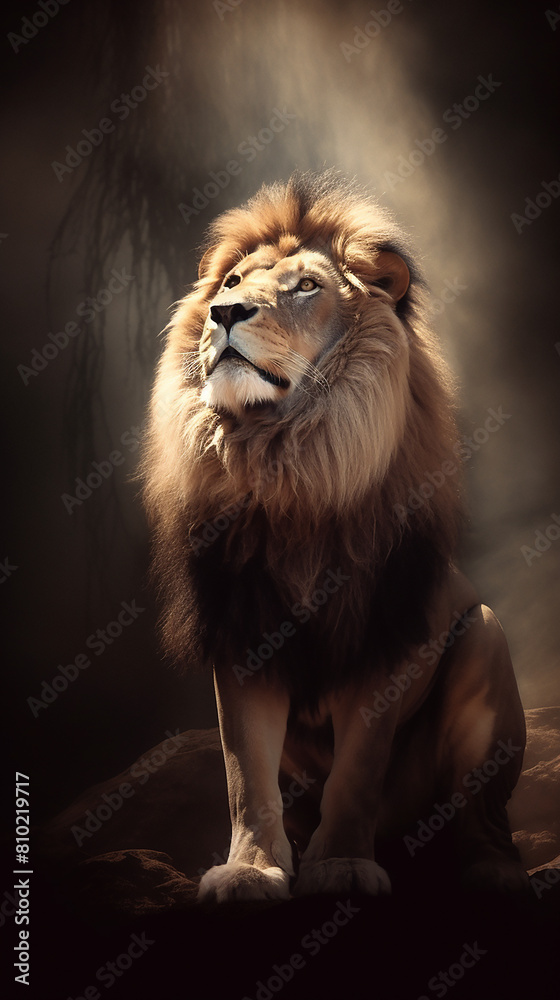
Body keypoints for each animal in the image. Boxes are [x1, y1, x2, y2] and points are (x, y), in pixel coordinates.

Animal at [142, 170, 528, 902]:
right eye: (231, 281)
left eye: (304, 287)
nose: (224, 314)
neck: (290, 464)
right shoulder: (244, 633)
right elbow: (246, 777)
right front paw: (251, 870)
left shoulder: (385, 635)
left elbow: (357, 771)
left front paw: (342, 865)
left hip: (486, 632)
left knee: (482, 818)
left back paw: (493, 871)